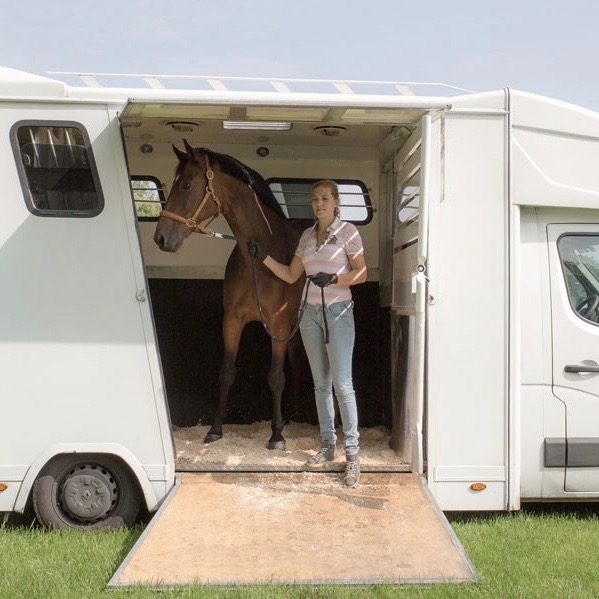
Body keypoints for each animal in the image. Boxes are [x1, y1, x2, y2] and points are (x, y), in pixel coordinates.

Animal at [152, 141, 308, 450]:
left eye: (187, 184)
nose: (160, 238)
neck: (260, 257)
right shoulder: (232, 321)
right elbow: (226, 372)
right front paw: (215, 429)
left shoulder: (278, 326)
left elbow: (275, 376)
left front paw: (276, 435)